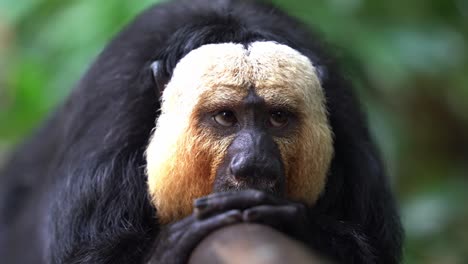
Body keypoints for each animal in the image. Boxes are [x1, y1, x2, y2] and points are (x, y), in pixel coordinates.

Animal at [0, 0, 402, 264]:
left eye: (277, 117)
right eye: (225, 117)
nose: (253, 164)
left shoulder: (345, 116)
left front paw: (293, 220)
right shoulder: (113, 110)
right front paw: (173, 243)